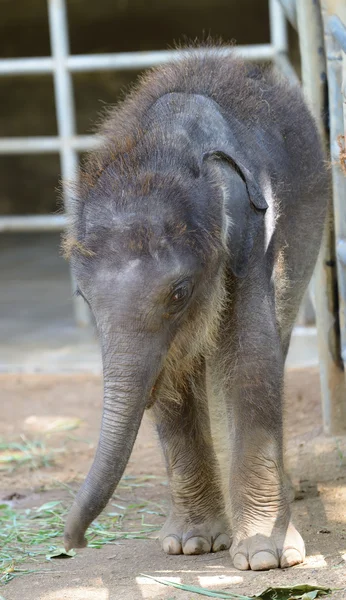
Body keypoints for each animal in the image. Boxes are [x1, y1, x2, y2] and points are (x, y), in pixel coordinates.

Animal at [64, 49, 328, 568]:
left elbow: (251, 358)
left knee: (277, 340)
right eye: (83, 298)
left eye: (179, 293)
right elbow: (175, 377)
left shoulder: (253, 243)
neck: (163, 145)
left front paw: (265, 557)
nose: (72, 545)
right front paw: (191, 545)